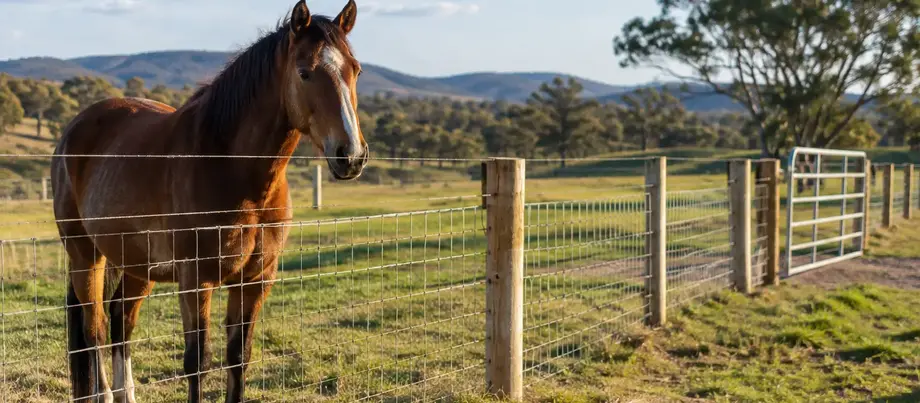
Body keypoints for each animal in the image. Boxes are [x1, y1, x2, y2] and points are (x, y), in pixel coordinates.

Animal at [51, 1, 367, 401]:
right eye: (305, 73)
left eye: (355, 70)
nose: (351, 156)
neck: (234, 171)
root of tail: (75, 129)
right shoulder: (195, 280)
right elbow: (197, 361)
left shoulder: (255, 280)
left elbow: (239, 357)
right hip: (85, 255)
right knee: (94, 327)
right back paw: (103, 394)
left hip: (135, 262)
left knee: (121, 320)